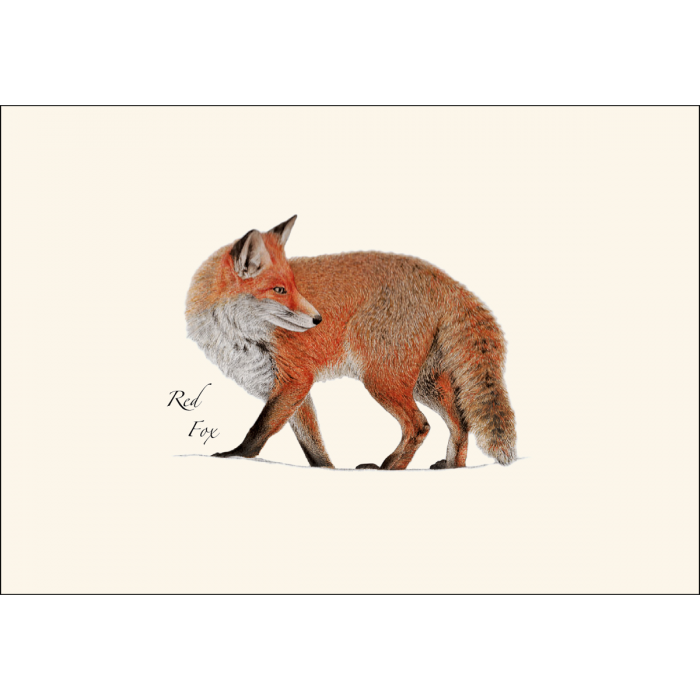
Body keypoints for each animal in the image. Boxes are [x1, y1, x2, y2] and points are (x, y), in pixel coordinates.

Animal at [185, 215, 516, 470]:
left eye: (294, 287)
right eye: (279, 289)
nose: (318, 319)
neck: (238, 334)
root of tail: (445, 280)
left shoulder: (296, 377)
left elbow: (261, 428)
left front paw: (235, 455)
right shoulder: (290, 389)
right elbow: (312, 444)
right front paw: (327, 470)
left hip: (381, 378)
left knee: (420, 425)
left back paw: (388, 468)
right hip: (423, 382)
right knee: (461, 422)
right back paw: (452, 467)